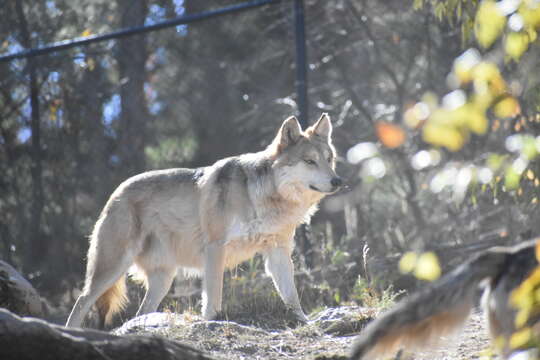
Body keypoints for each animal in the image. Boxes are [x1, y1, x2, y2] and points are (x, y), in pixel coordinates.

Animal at [64, 114, 342, 328]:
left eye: (329, 159)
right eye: (309, 161)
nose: (338, 181)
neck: (264, 197)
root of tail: (116, 192)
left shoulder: (278, 252)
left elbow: (291, 296)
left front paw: (305, 322)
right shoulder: (215, 249)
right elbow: (213, 296)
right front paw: (211, 322)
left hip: (163, 279)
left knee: (140, 312)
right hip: (111, 268)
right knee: (80, 302)